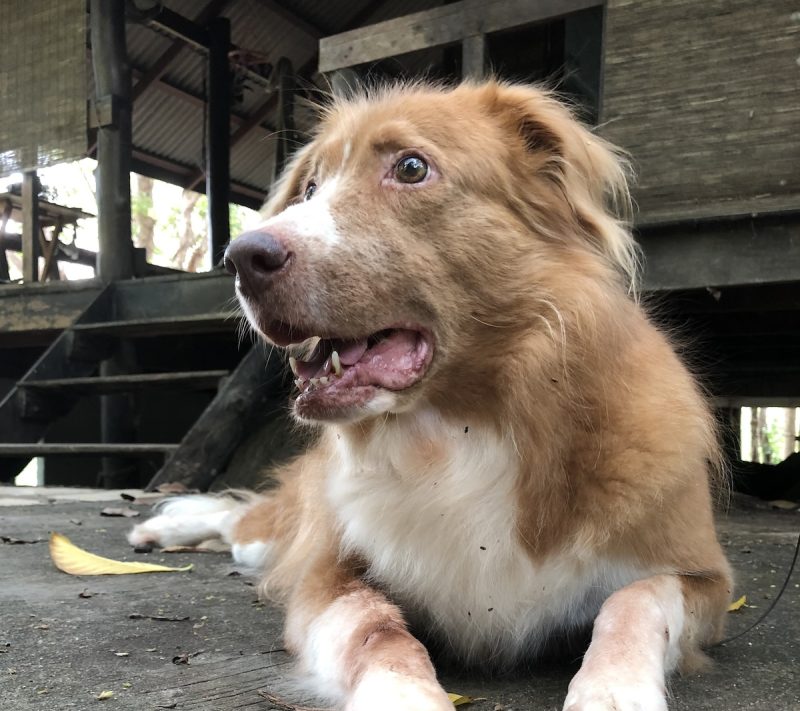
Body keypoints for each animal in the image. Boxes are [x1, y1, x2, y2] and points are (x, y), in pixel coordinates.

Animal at [130, 82, 732, 711]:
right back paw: (163, 528)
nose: (240, 257)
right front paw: (401, 694)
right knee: (242, 521)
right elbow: (376, 629)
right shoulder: (326, 576)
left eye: (411, 167)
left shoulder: (707, 580)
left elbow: (634, 600)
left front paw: (613, 685)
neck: (462, 427)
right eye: (310, 188)